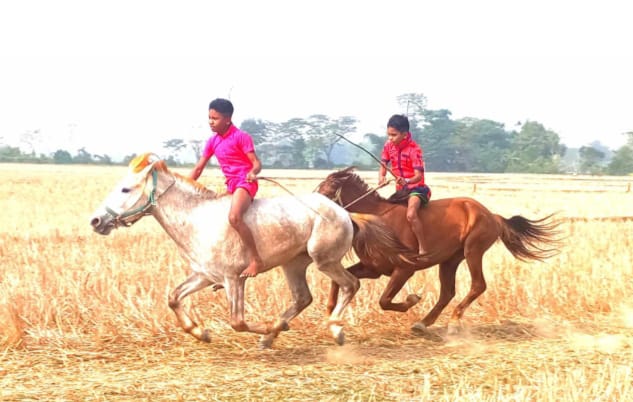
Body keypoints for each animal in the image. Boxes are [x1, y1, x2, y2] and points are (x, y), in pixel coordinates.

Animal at [87, 154, 414, 348]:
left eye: (126, 189)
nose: (96, 221)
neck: (198, 220)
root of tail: (345, 213)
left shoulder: (234, 279)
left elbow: (238, 322)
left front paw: (266, 326)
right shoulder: (204, 275)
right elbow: (173, 297)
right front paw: (199, 331)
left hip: (325, 260)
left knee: (350, 284)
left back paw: (333, 329)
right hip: (293, 264)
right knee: (303, 297)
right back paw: (272, 336)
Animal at [316, 167, 556, 336]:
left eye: (326, 191)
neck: (378, 220)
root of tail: (492, 215)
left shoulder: (404, 269)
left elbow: (384, 300)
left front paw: (412, 299)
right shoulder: (373, 268)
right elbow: (340, 281)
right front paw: (330, 314)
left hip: (473, 250)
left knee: (478, 285)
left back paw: (453, 322)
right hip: (449, 261)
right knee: (447, 292)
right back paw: (423, 323)